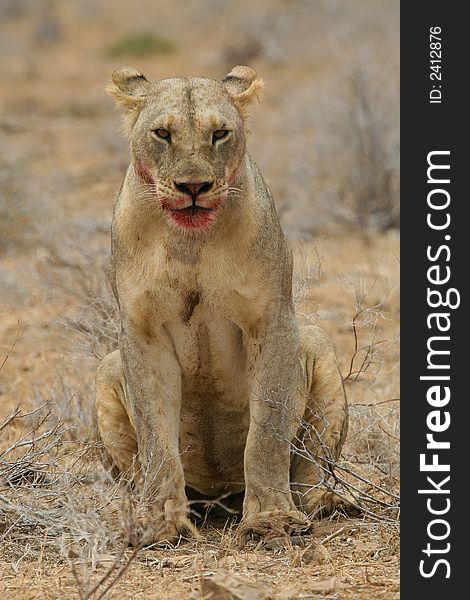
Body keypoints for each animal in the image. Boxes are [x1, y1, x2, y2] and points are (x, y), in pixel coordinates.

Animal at [94, 64, 348, 544]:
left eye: (219, 134)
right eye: (162, 133)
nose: (194, 186)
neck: (191, 243)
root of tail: (220, 498)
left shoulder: (272, 321)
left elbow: (267, 431)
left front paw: (271, 519)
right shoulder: (142, 331)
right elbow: (156, 438)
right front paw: (159, 522)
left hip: (318, 343)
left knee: (314, 469)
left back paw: (328, 503)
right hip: (107, 367)